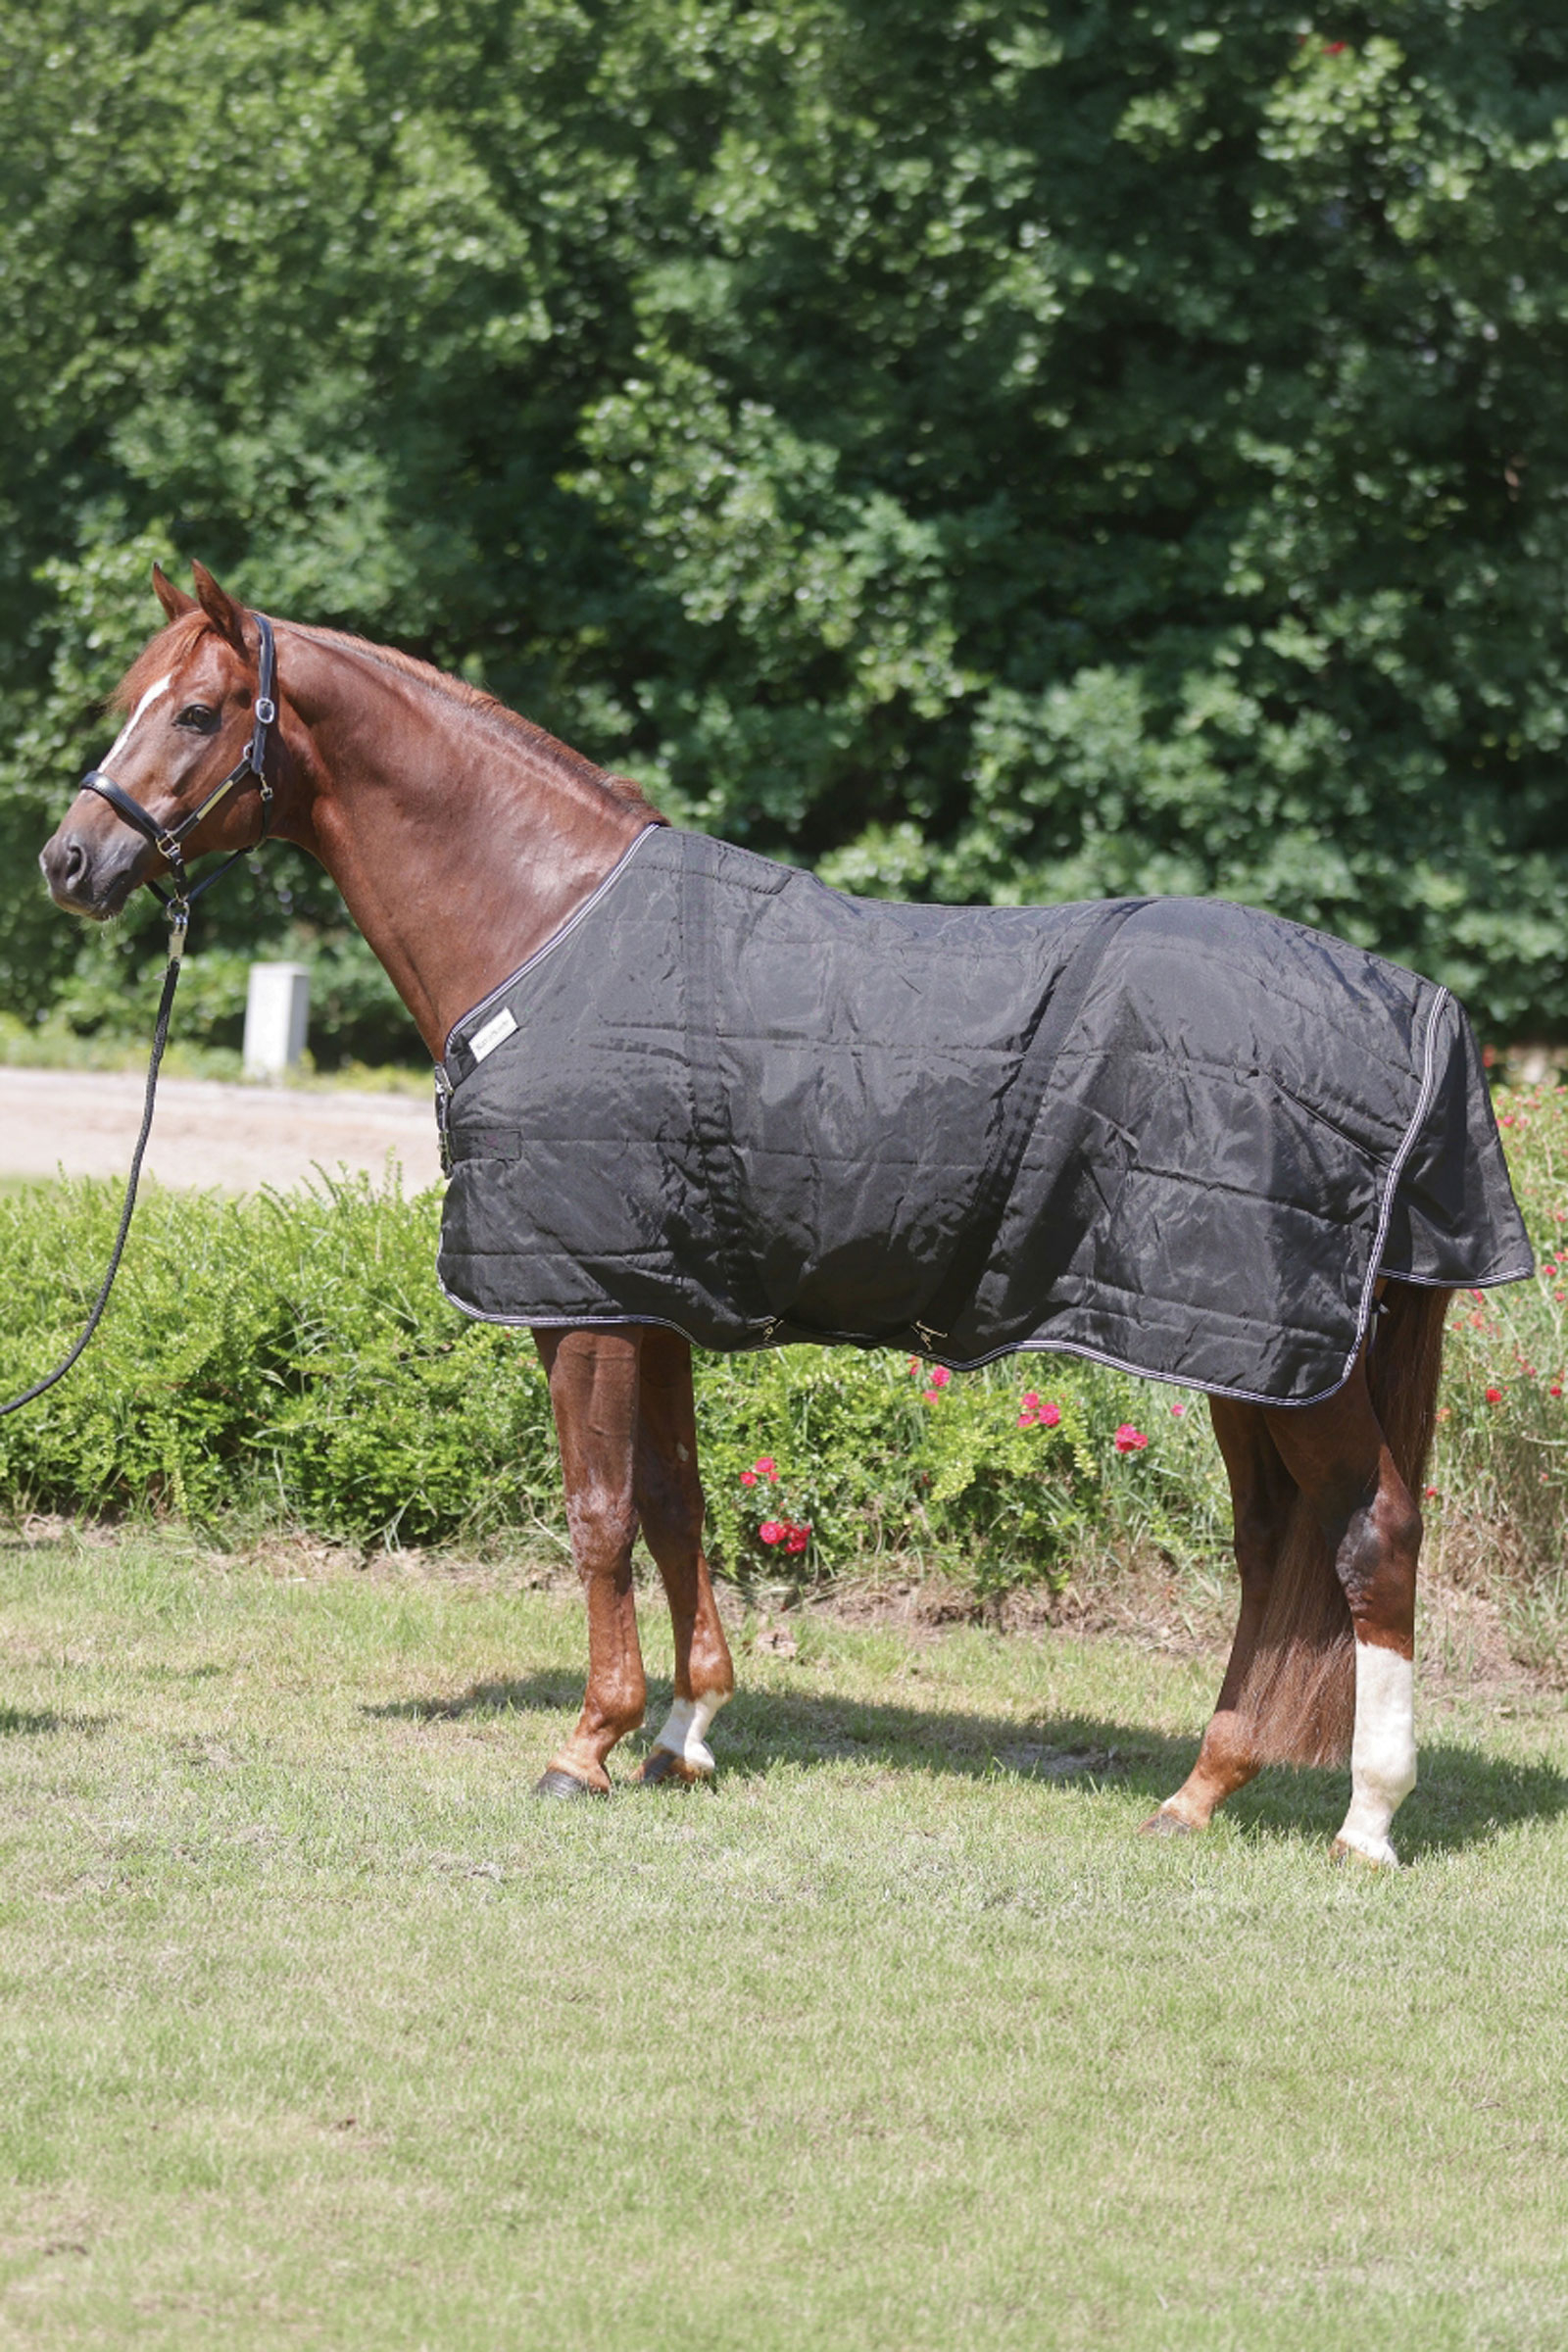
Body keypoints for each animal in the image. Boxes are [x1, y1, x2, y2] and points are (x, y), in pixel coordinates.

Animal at [38, 562, 1529, 1866]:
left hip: (1268, 1348)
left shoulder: (580, 1301)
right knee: (1277, 1544)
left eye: (196, 710)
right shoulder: (654, 1296)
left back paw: (1367, 1820)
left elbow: (595, 1512)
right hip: (1243, 1353)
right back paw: (1203, 1790)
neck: (544, 929)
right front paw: (686, 1731)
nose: (70, 859)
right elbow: (675, 1501)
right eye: (131, 692)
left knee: (1369, 1533)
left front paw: (586, 1745)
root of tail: (1416, 1012)